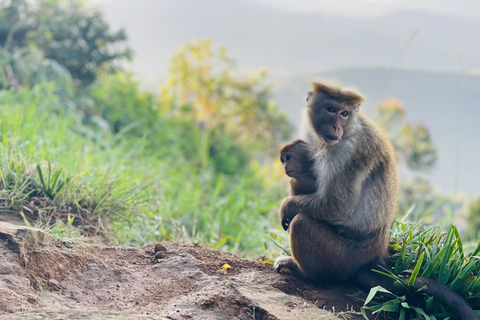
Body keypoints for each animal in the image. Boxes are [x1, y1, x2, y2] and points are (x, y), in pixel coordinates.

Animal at [276, 83, 478, 320]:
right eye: (331, 109)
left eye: (344, 113)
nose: (337, 127)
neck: (350, 130)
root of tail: (373, 259)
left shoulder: (343, 152)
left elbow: (337, 208)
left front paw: (287, 206)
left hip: (342, 257)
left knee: (302, 223)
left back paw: (305, 273)